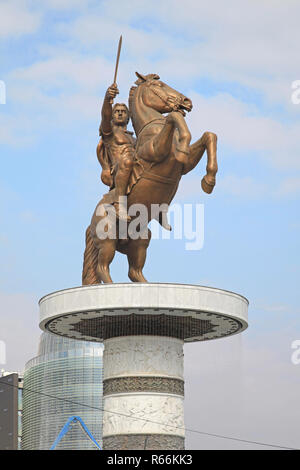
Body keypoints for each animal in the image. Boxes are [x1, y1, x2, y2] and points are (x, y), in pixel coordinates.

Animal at [82, 73, 218, 284]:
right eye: (159, 84)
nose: (187, 101)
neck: (151, 128)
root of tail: (90, 223)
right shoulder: (157, 151)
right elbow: (173, 117)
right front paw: (183, 146)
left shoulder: (185, 166)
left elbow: (209, 135)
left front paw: (209, 181)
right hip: (108, 237)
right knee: (102, 267)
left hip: (141, 239)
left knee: (134, 271)